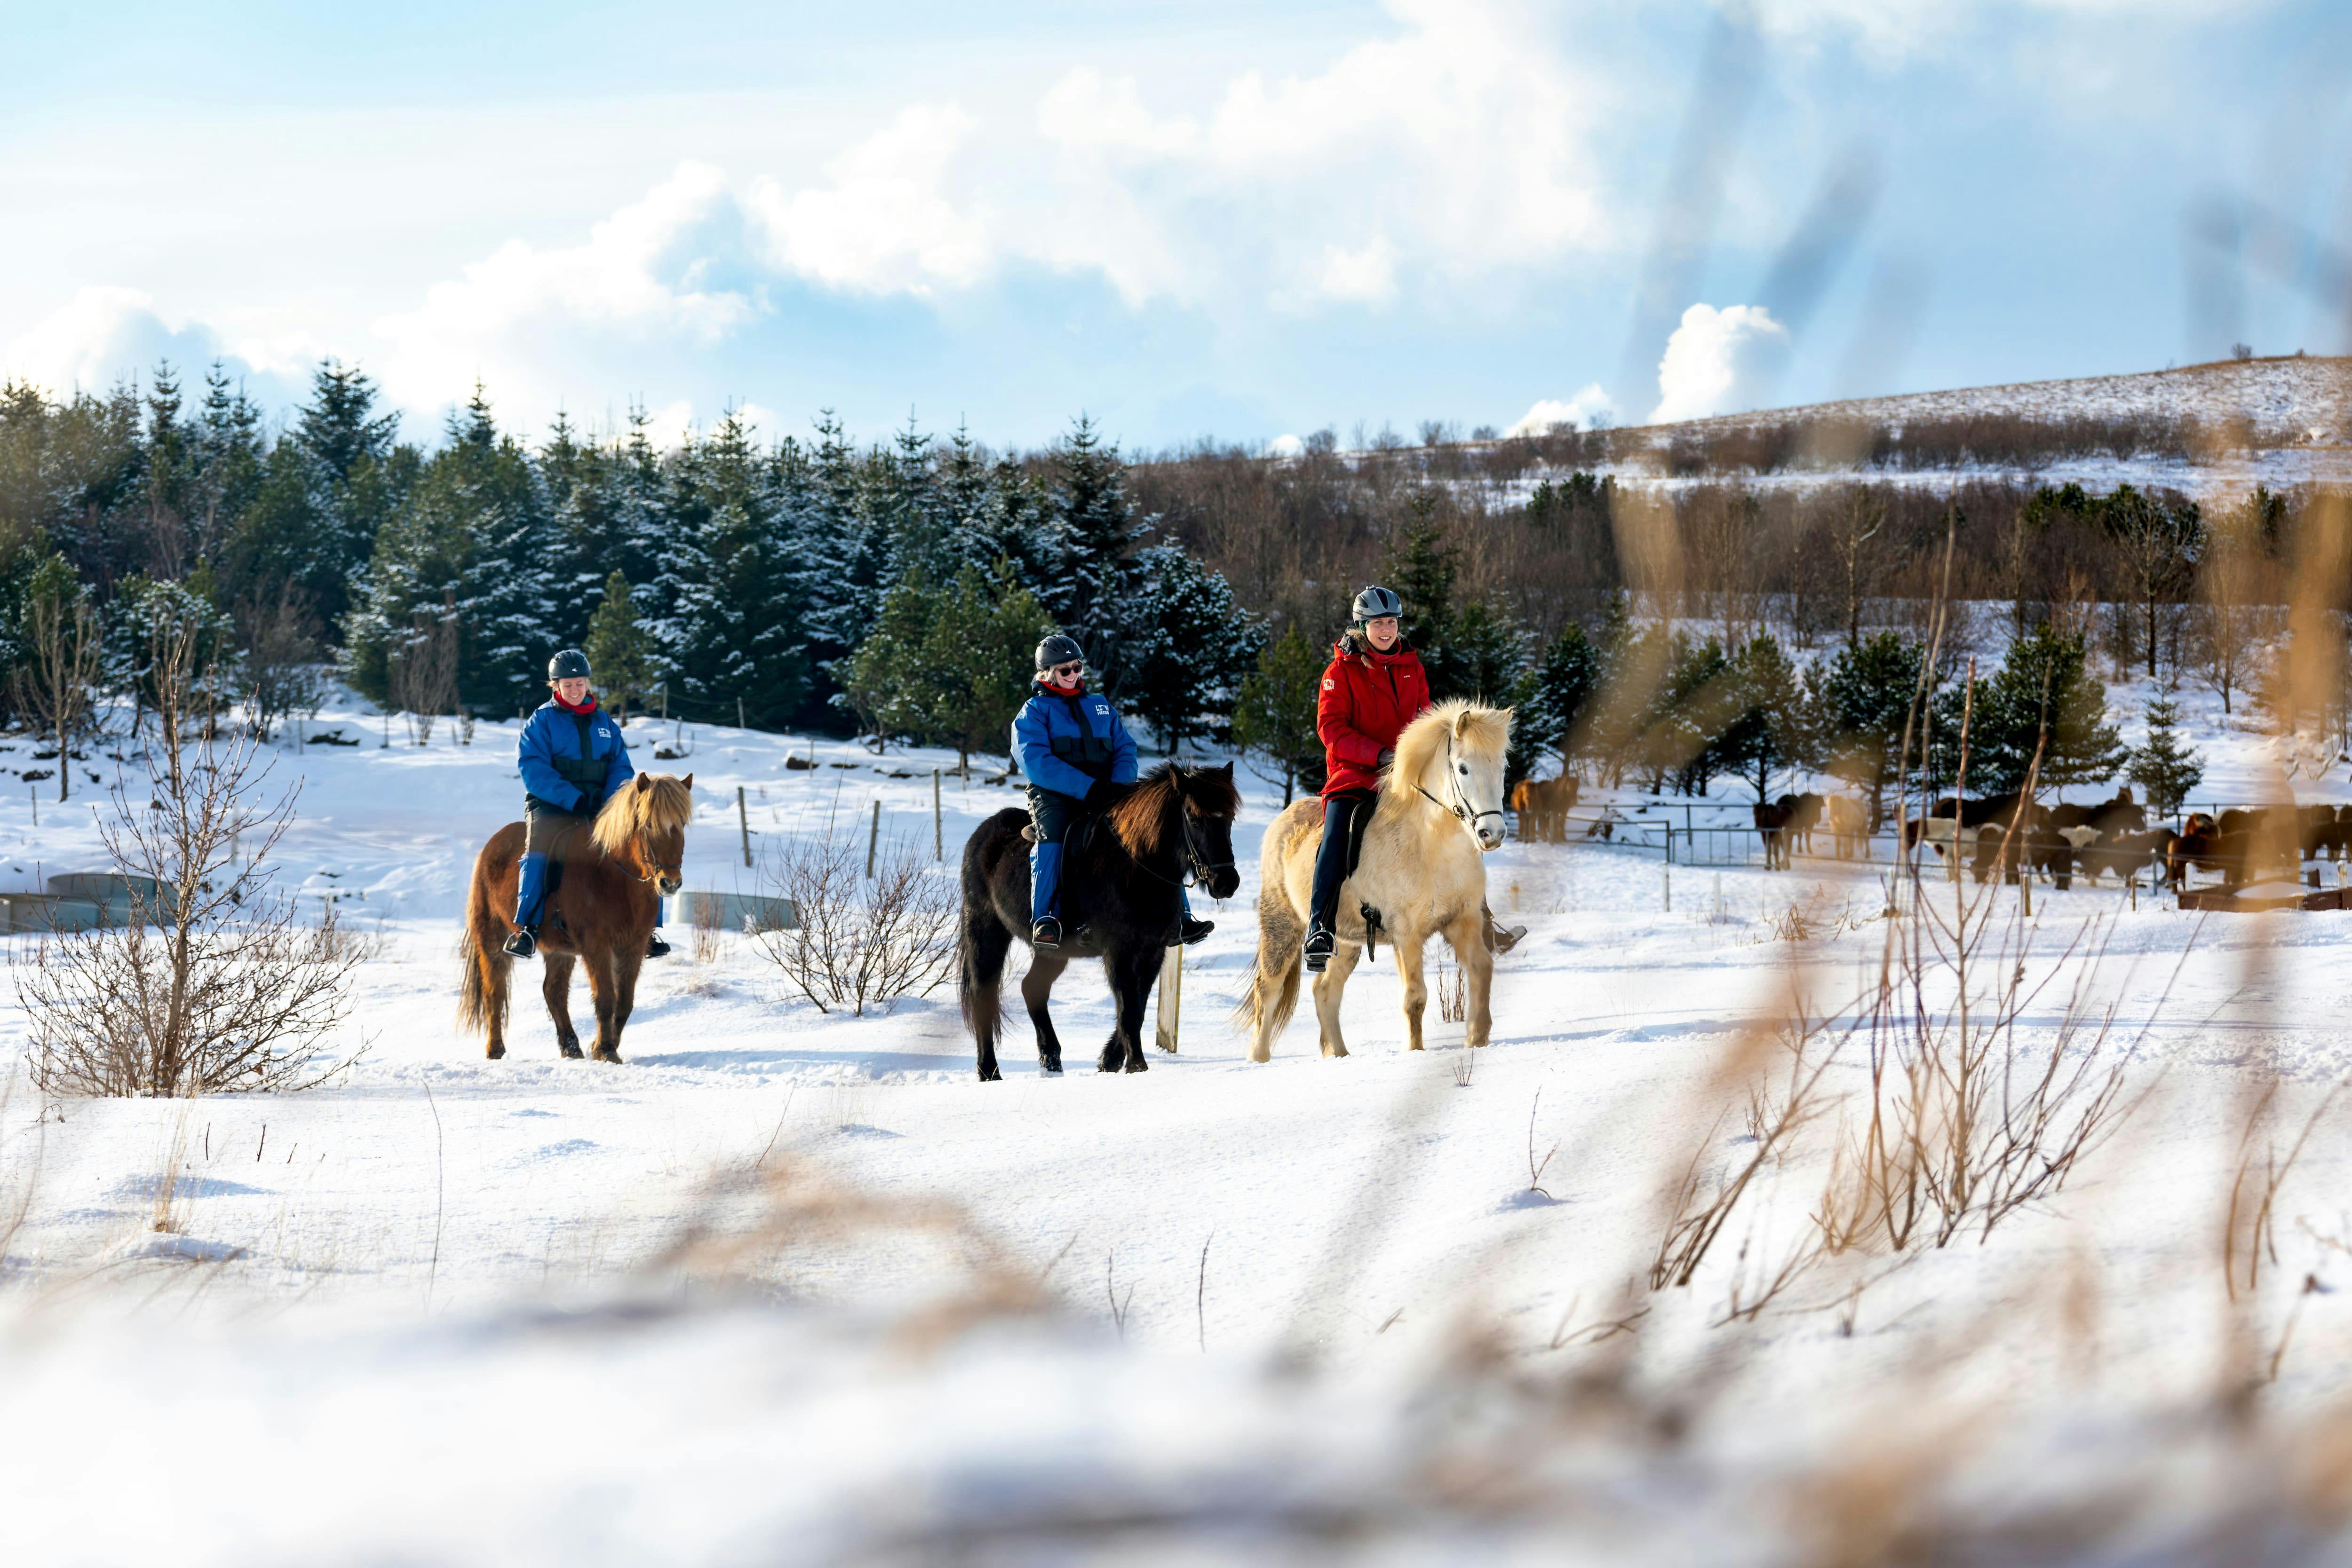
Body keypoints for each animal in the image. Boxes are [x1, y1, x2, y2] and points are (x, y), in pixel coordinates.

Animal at [458, 772, 694, 1063]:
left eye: (682, 824)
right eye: (649, 824)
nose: (670, 883)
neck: (612, 877)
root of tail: (491, 846)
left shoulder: (633, 946)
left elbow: (624, 1002)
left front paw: (601, 1046)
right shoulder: (596, 946)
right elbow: (605, 999)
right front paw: (606, 1050)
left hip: (560, 951)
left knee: (554, 992)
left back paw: (571, 1048)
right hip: (491, 939)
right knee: (495, 992)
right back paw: (496, 1050)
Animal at [958, 763, 1241, 1081]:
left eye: (1229, 819)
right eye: (1193, 818)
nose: (1227, 882)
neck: (1134, 869)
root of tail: (984, 835)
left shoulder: (1152, 952)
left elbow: (1138, 1007)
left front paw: (1111, 1061)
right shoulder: (1118, 952)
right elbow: (1128, 1009)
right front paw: (1136, 1066)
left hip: (1053, 951)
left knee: (1032, 989)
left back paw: (1051, 1060)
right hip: (987, 932)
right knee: (983, 995)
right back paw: (989, 1071)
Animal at [1242, 701, 1511, 1061]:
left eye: (1503, 767)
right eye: (1463, 768)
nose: (1491, 834)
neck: (1431, 846)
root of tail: (1283, 818)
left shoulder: (1463, 920)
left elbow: (1482, 970)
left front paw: (1476, 1042)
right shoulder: (1407, 934)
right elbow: (1415, 998)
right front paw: (1416, 1052)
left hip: (1346, 942)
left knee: (1324, 990)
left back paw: (1339, 1055)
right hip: (1282, 925)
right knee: (1268, 989)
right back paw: (1258, 1058)